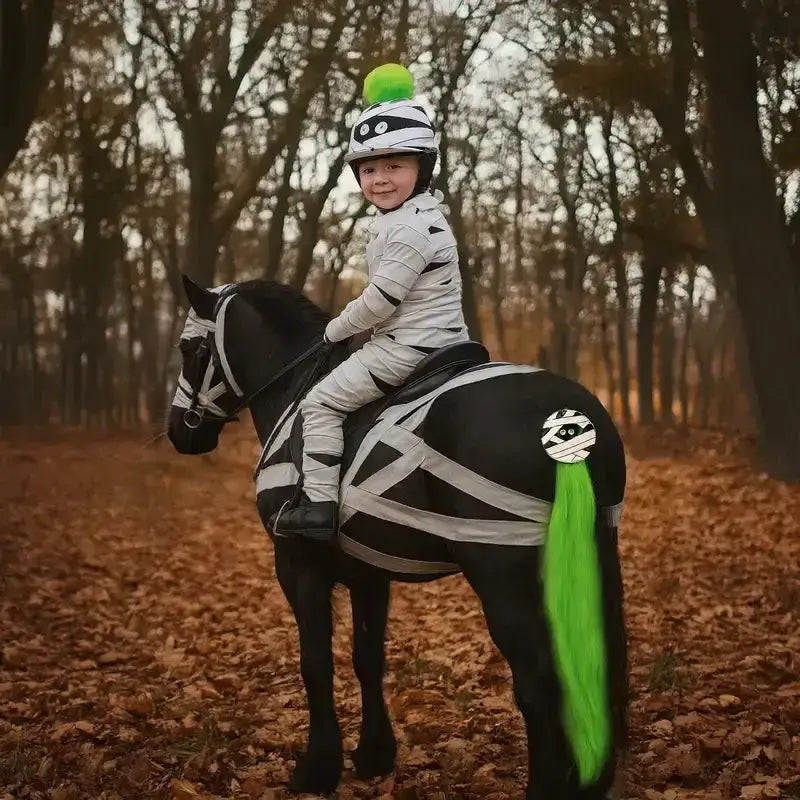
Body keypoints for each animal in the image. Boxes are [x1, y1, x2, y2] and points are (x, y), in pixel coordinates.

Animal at [166, 275, 628, 800]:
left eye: (189, 348)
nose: (179, 431)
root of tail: (568, 418)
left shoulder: (298, 566)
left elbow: (315, 663)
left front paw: (317, 769)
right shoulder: (369, 574)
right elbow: (367, 658)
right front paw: (373, 755)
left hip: (507, 578)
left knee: (541, 685)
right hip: (589, 556)